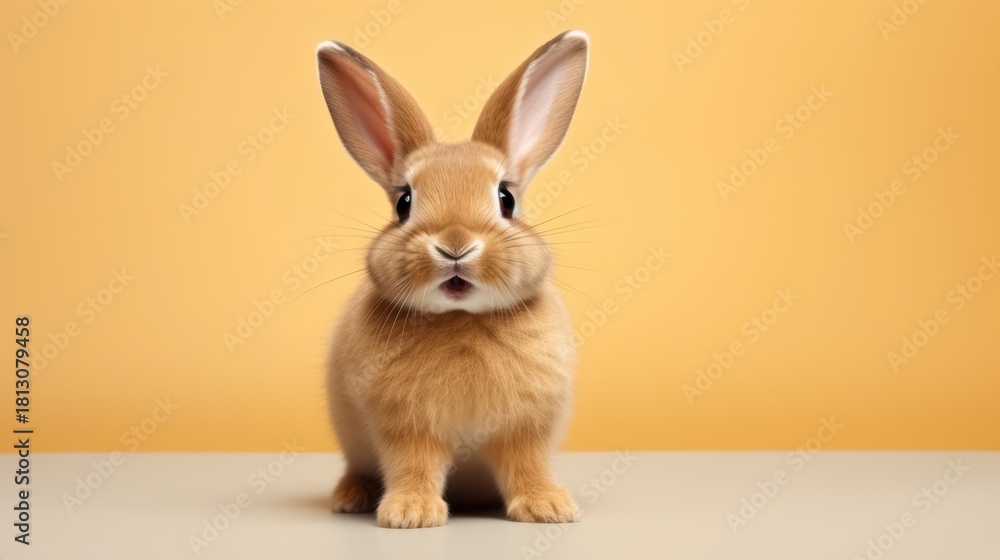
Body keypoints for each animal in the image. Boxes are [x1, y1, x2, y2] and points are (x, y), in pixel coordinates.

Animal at [316, 30, 590, 528]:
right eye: (404, 202)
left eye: (506, 199)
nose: (455, 244)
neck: (461, 318)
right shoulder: (405, 428)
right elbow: (413, 465)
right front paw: (410, 514)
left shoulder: (527, 427)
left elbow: (528, 465)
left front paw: (548, 508)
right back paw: (350, 497)